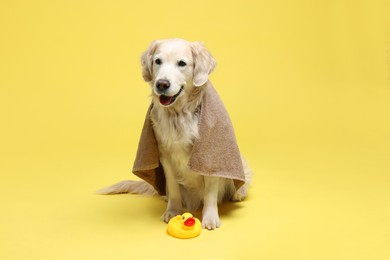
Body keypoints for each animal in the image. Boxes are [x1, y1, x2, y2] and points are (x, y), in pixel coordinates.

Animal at [99, 38, 251, 230]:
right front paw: (172, 211)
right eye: (158, 61)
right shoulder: (164, 156)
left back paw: (238, 193)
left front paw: (210, 218)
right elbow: (173, 188)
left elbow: (210, 190)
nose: (162, 84)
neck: (178, 115)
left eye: (182, 63)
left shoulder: (209, 157)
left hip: (241, 163)